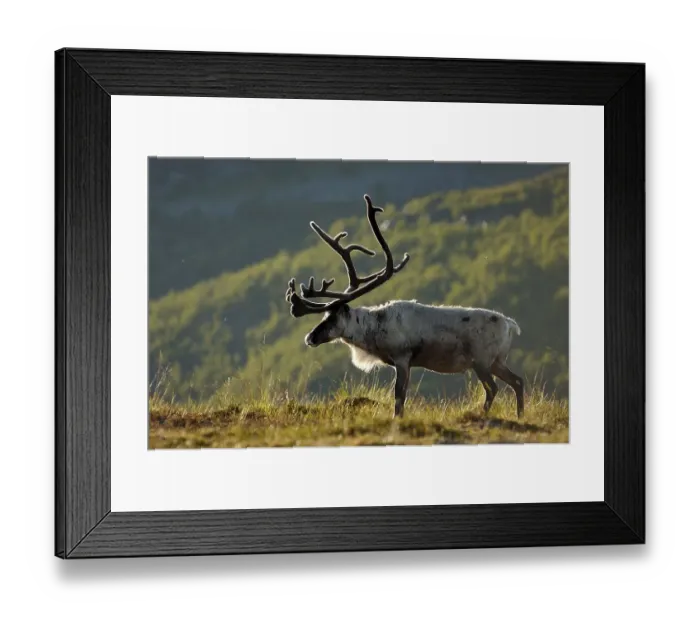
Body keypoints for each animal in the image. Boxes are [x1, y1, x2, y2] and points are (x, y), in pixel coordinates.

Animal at [285, 194, 525, 419]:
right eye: (323, 315)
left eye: (332, 318)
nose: (310, 337)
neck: (373, 331)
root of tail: (510, 324)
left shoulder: (402, 357)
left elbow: (399, 395)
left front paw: (397, 418)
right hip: (496, 361)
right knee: (517, 381)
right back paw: (520, 414)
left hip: (481, 360)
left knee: (492, 388)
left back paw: (484, 414)